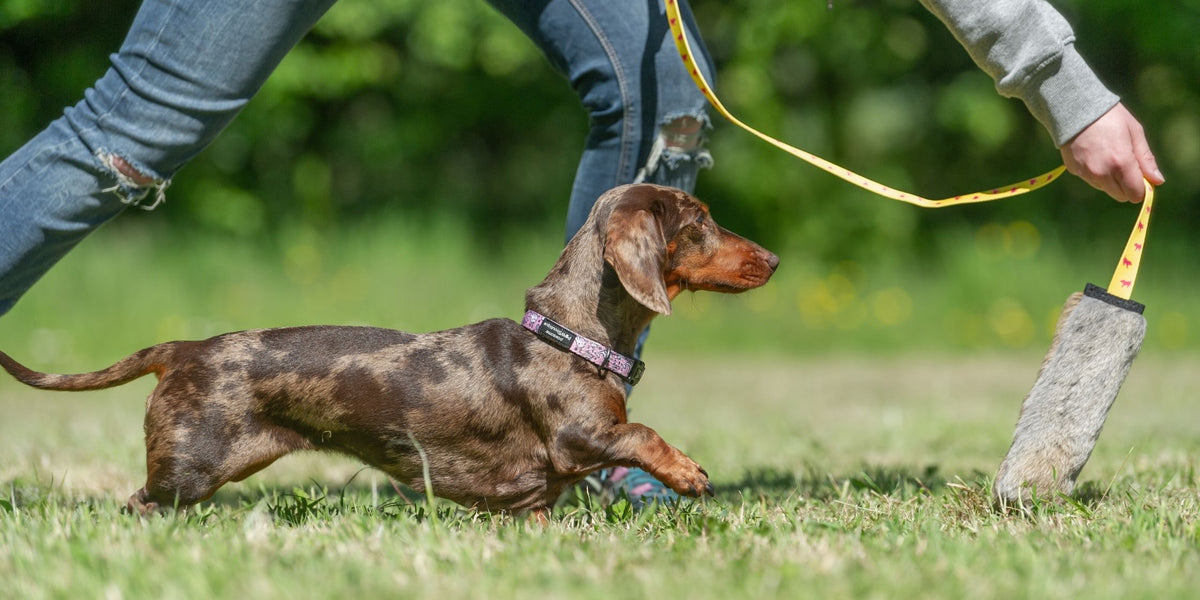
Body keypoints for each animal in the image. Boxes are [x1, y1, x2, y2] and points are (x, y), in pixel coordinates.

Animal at [0, 183, 782, 520]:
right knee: (139, 503)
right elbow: (642, 432)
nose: (774, 259)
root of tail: (185, 346)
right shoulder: (580, 436)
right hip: (190, 468)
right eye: (701, 221)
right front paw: (688, 473)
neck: (572, 333)